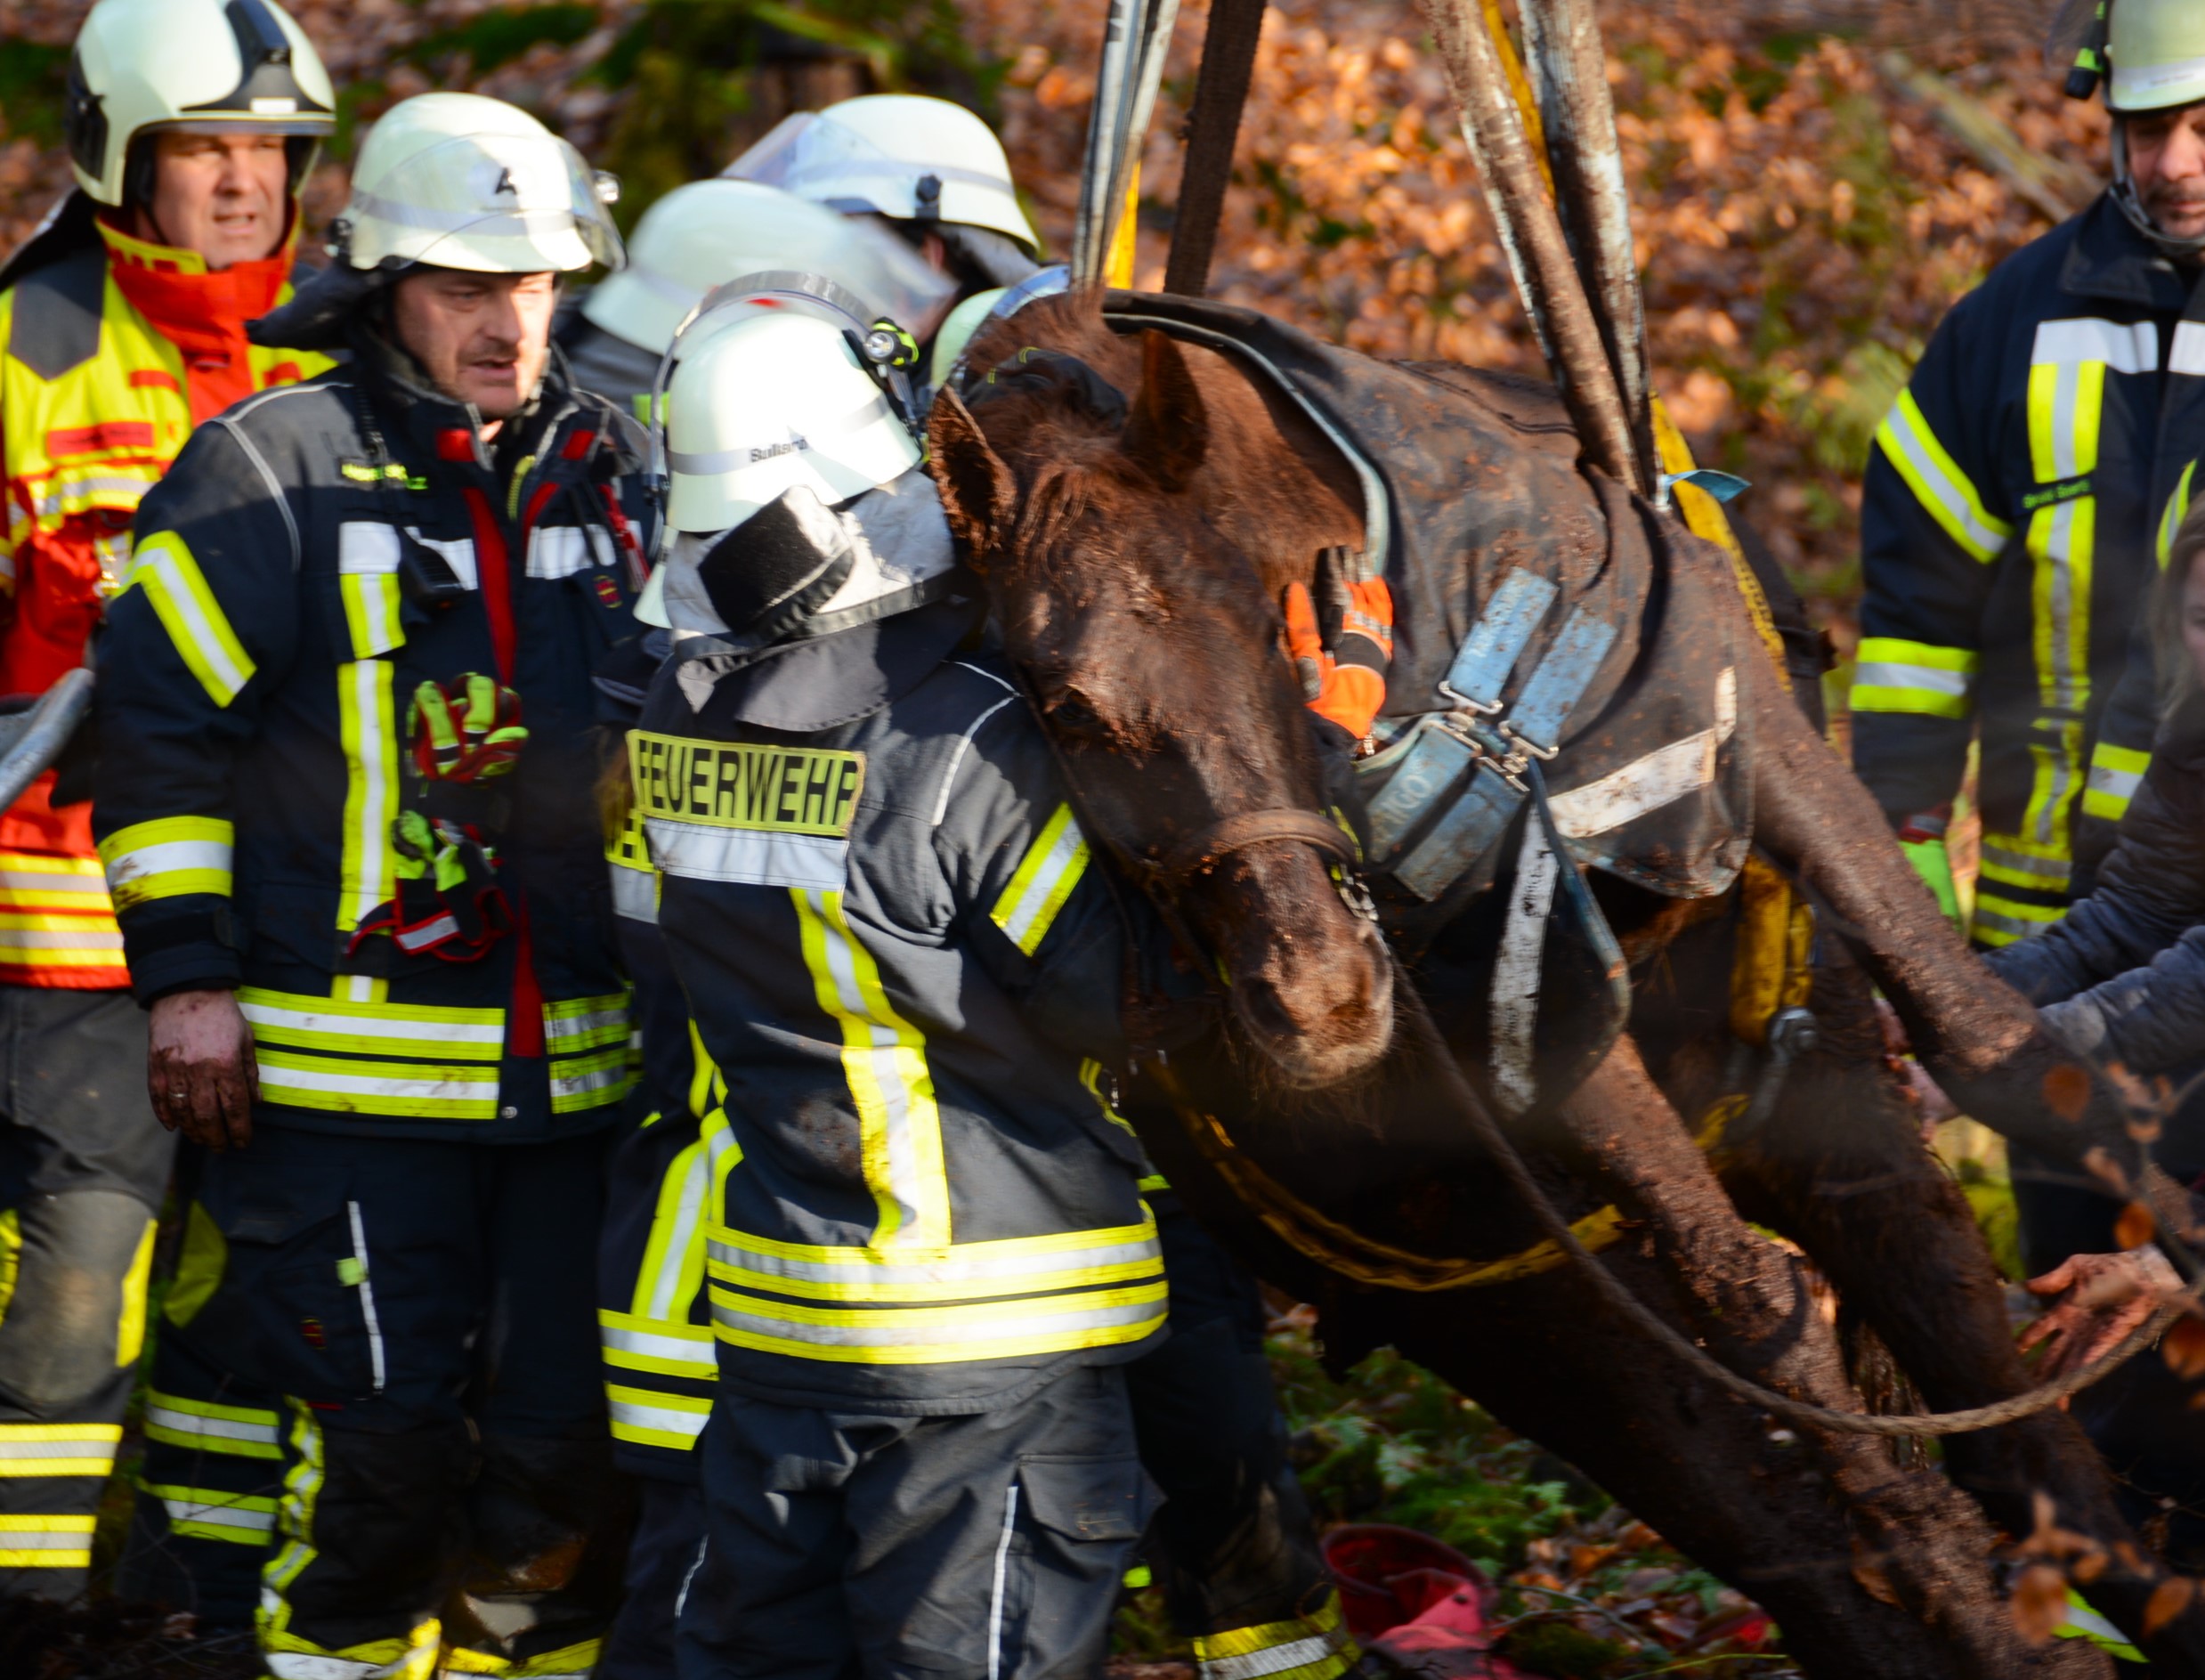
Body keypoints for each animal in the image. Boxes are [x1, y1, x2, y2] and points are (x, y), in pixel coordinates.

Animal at [930, 295, 2205, 1667]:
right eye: (1067, 707)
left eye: (1283, 636)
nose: (1322, 993)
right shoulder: (1524, 1017)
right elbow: (1748, 1296)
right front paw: (1952, 1569)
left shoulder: (1751, 744)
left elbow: (1986, 1038)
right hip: (1506, 1291)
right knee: (1769, 1511)